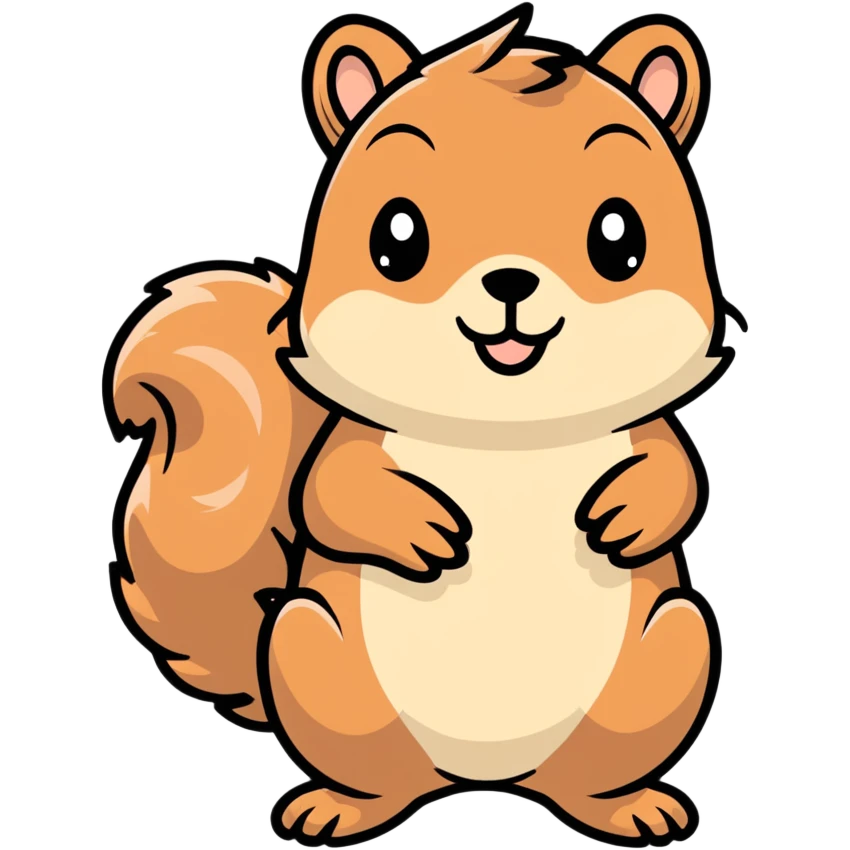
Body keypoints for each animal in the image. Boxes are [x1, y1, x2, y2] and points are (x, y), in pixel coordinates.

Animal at [103, 5, 745, 847]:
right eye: (396, 237)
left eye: (619, 237)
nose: (511, 281)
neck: (505, 430)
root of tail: (487, 777)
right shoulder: (349, 439)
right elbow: (327, 493)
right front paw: (425, 533)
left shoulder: (651, 430)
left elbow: (682, 478)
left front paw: (623, 516)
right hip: (315, 654)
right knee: (379, 776)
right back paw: (339, 806)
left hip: (675, 647)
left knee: (590, 772)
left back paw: (627, 805)